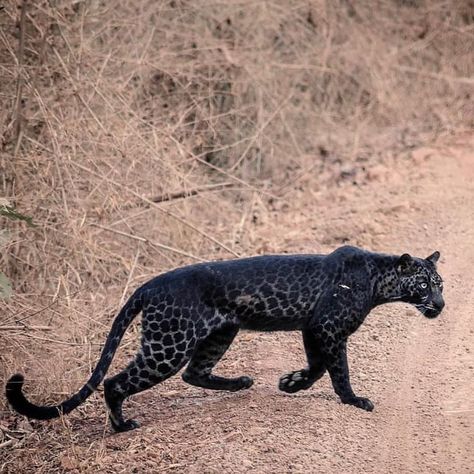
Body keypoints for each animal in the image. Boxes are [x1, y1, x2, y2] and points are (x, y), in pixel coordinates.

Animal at [4, 246, 444, 432]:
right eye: (424, 285)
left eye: (441, 284)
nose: (440, 305)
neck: (379, 280)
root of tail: (148, 285)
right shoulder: (329, 328)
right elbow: (338, 370)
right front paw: (354, 400)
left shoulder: (313, 328)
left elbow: (317, 366)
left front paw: (290, 383)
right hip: (168, 344)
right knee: (116, 382)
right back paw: (122, 425)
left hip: (219, 332)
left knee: (195, 373)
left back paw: (241, 383)